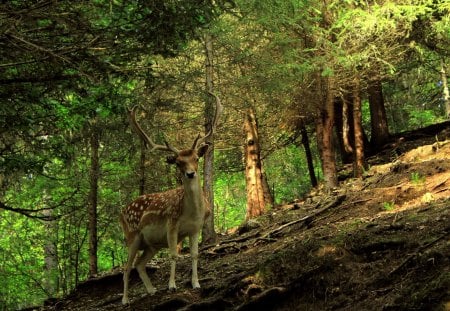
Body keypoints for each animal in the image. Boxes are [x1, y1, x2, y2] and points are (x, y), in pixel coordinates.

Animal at [119, 93, 221, 308]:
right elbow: (174, 255)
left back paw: (151, 290)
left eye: (196, 158)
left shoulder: (195, 228)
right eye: (179, 162)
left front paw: (196, 283)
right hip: (132, 236)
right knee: (127, 267)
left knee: (140, 264)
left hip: (152, 244)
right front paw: (172, 286)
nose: (190, 174)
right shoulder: (171, 224)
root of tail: (120, 213)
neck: (192, 212)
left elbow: (194, 254)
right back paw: (125, 300)